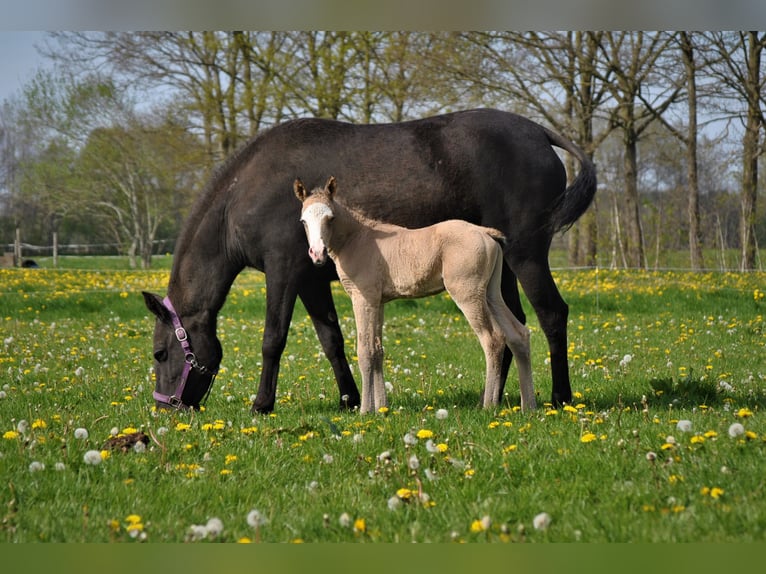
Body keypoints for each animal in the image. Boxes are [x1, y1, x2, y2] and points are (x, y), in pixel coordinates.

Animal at [295, 176, 536, 413]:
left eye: (330, 218)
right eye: (304, 221)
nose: (317, 254)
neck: (357, 239)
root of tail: (485, 232)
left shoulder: (363, 298)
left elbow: (365, 351)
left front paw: (365, 410)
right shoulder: (378, 302)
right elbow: (377, 350)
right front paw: (382, 408)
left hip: (468, 294)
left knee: (492, 339)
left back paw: (488, 406)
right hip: (490, 293)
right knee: (518, 334)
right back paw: (529, 406)